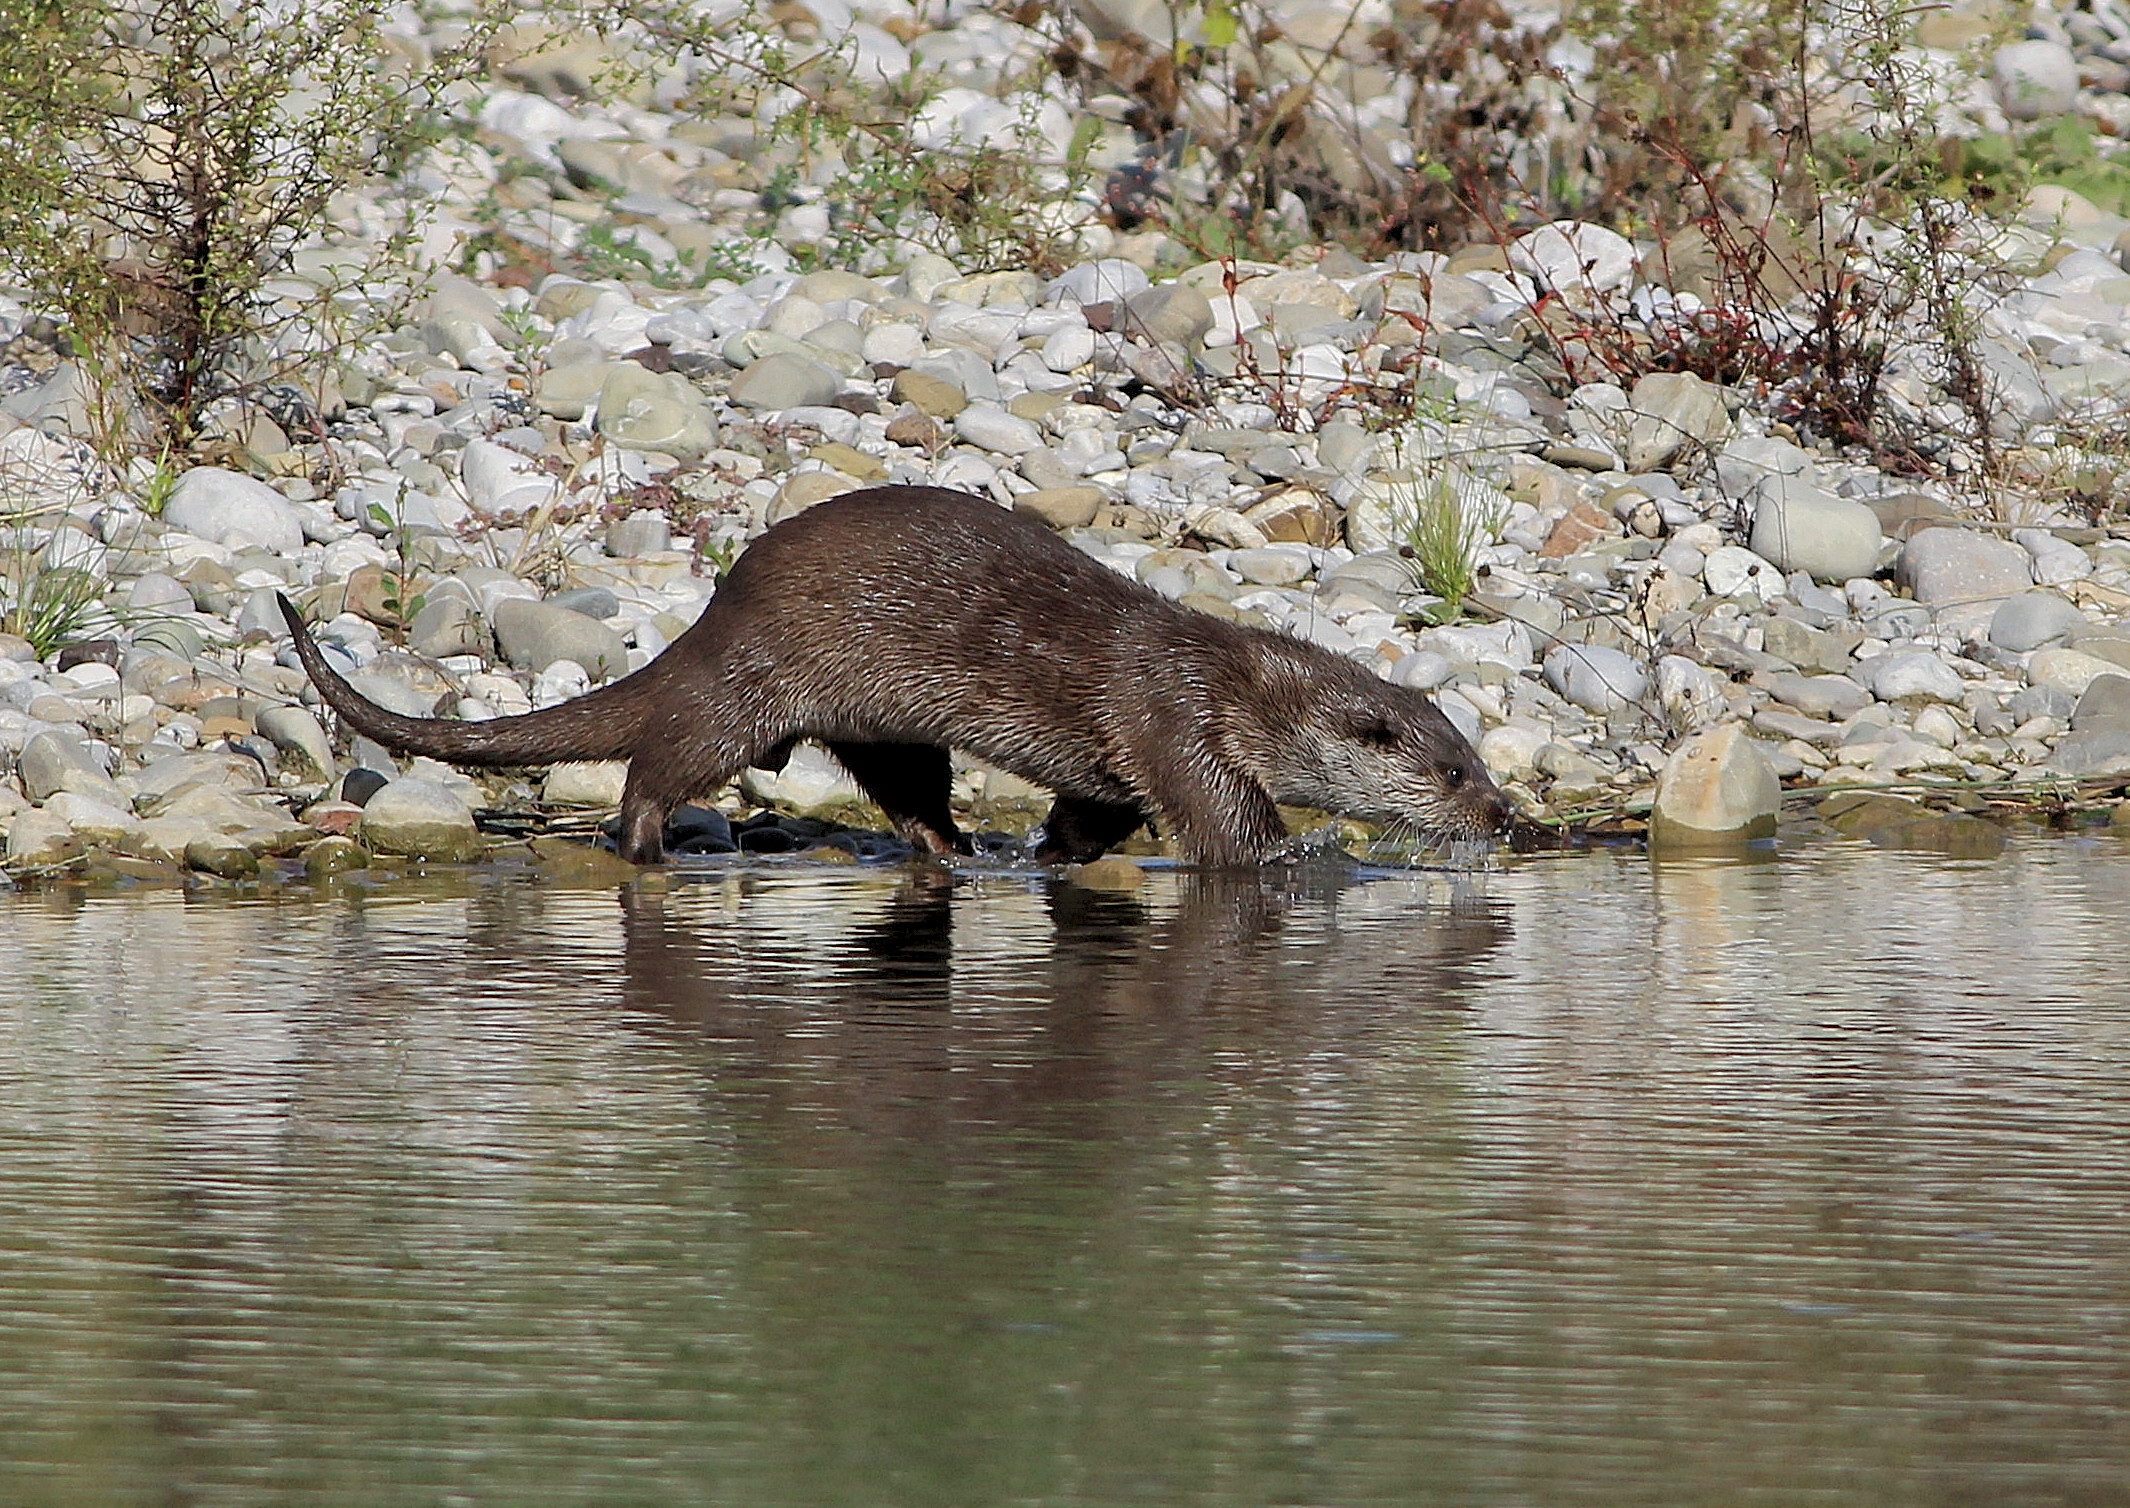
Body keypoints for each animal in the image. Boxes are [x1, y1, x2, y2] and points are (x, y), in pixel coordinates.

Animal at [278, 485, 1509, 865]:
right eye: (1450, 771)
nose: (1505, 814)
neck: (1235, 685)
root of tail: (719, 607)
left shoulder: (1119, 764)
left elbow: (1092, 817)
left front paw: (1048, 858)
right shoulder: (1176, 726)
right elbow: (1236, 839)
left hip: (884, 722)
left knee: (906, 790)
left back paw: (957, 852)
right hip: (752, 684)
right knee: (664, 757)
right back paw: (645, 844)